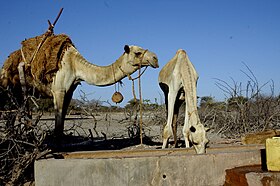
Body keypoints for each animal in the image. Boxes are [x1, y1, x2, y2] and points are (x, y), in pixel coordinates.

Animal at [0, 35, 159, 138]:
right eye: (137, 53)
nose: (155, 59)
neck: (76, 66)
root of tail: (6, 63)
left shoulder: (69, 91)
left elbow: (62, 121)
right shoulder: (58, 89)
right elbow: (58, 120)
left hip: (18, 93)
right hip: (10, 87)